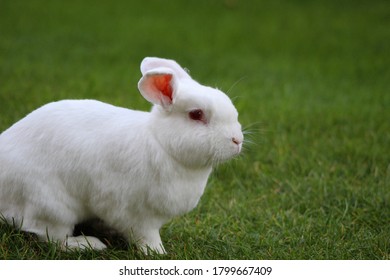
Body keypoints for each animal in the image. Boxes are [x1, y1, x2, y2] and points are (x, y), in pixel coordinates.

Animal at [0, 57, 244, 254]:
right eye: (196, 114)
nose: (237, 140)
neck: (161, 143)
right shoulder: (138, 214)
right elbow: (147, 236)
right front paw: (158, 252)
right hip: (52, 206)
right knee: (53, 239)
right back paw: (90, 244)